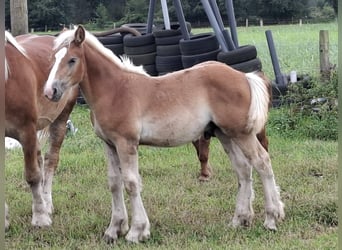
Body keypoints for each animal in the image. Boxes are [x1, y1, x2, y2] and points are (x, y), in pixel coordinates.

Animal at [5, 30, 79, 229]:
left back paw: (47, 203)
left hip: (61, 117)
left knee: (50, 160)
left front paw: (40, 218)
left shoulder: (26, 130)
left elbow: (33, 176)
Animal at [44, 26, 284, 243]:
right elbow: (114, 183)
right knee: (243, 170)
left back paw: (271, 219)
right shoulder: (109, 144)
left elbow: (131, 183)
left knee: (262, 162)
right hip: (225, 134)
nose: (49, 92)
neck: (114, 90)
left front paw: (136, 232)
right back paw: (239, 219)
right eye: (54, 59)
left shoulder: (126, 143)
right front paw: (113, 230)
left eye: (72, 60)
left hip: (242, 133)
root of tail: (244, 76)